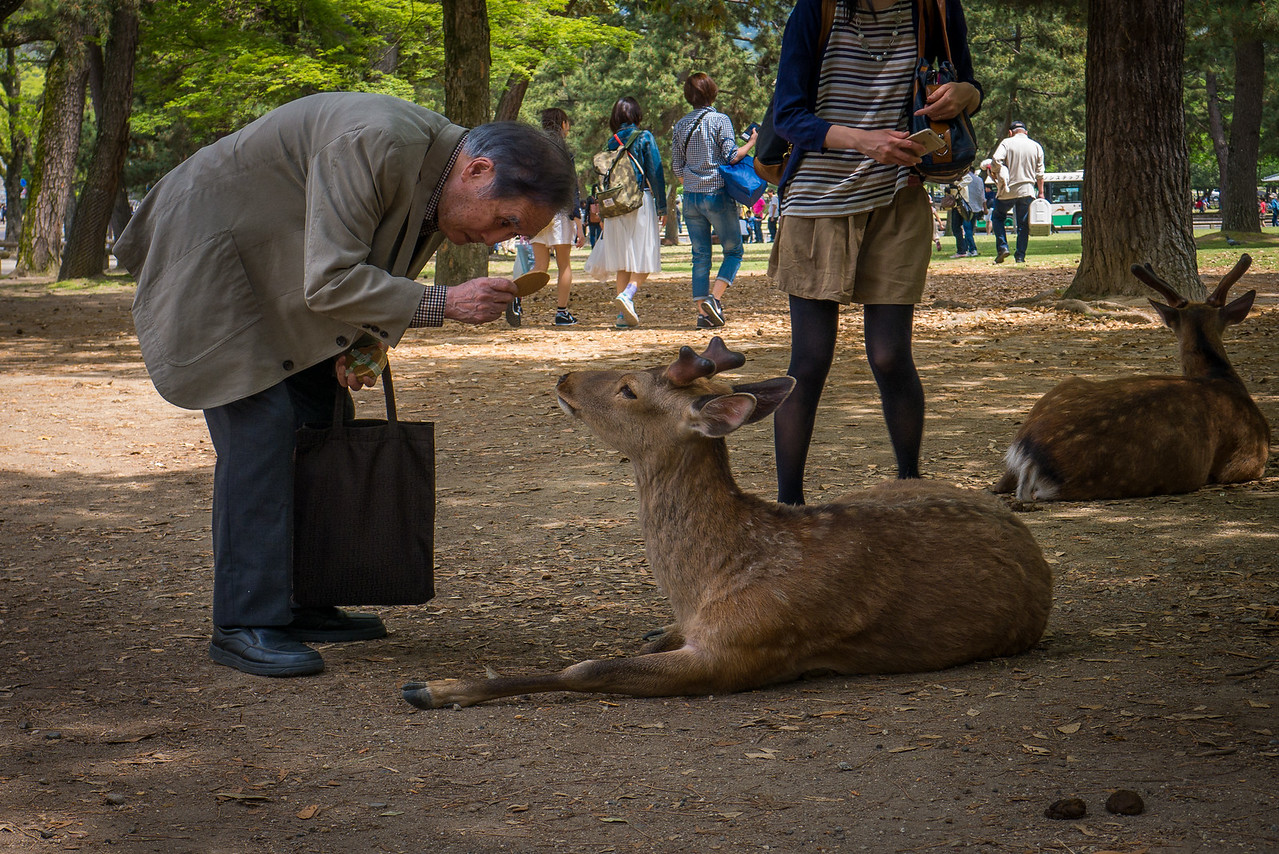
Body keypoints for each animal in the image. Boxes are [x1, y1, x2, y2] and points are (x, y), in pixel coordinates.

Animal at [402, 338, 1052, 709]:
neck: (709, 579)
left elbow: (589, 667)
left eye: (629, 388)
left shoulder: (741, 650)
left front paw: (434, 689)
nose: (563, 378)